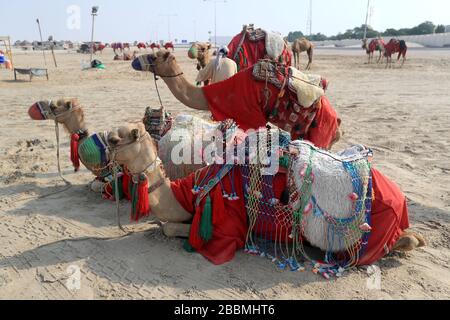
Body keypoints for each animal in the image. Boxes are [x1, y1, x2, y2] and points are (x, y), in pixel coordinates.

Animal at [106, 122, 426, 268]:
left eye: (114, 139)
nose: (104, 141)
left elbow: (172, 229)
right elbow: (165, 224)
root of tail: (400, 198)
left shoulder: (227, 225)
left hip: (366, 236)